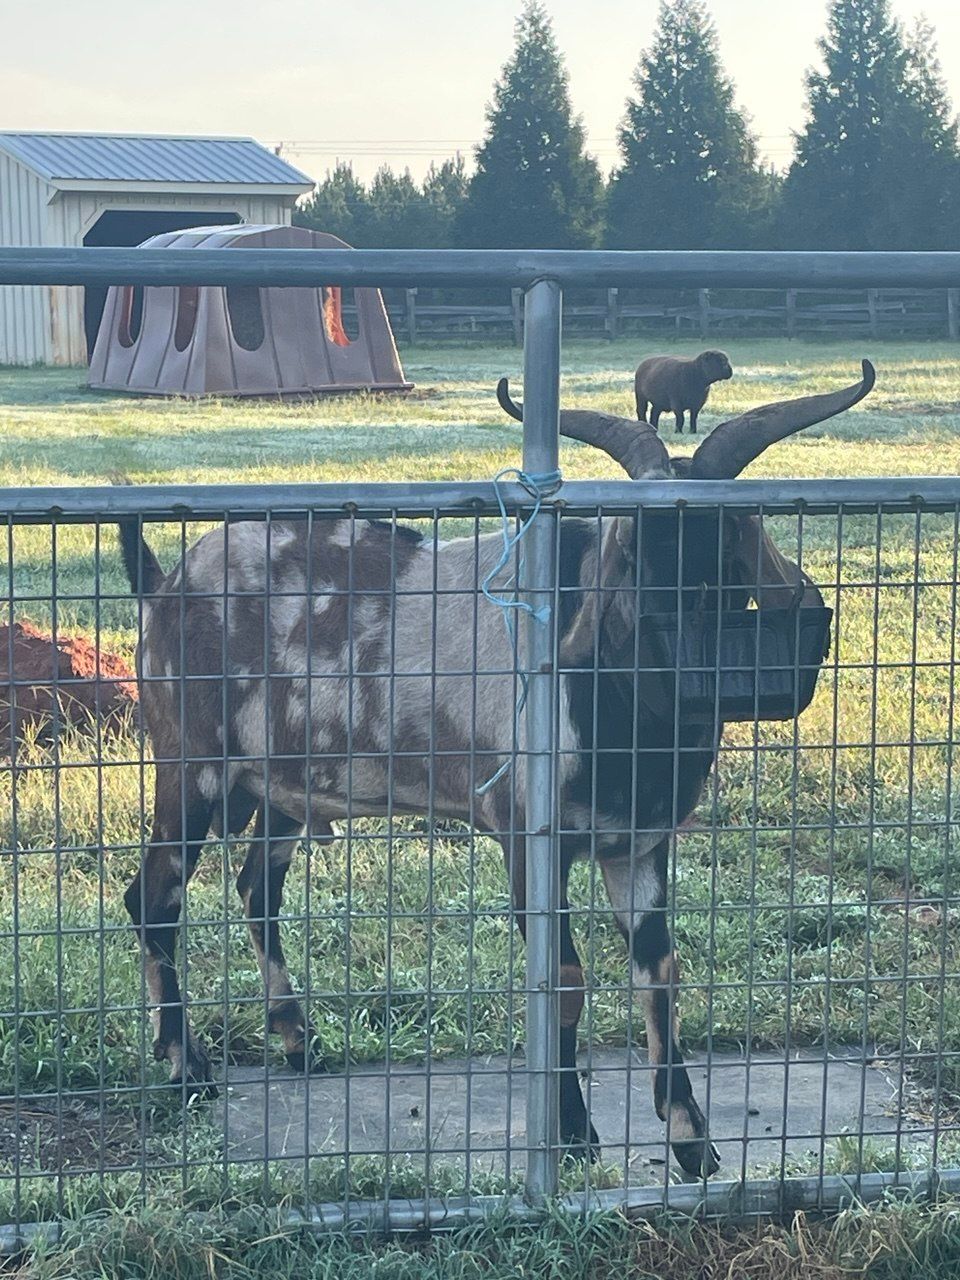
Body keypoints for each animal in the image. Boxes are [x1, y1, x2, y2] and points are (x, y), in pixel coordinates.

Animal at [117, 360, 875, 1179]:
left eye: (725, 563)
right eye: (632, 558)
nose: (681, 660)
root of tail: (163, 584)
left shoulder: (638, 844)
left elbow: (661, 976)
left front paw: (692, 1143)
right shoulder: (528, 836)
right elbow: (565, 982)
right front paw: (573, 1137)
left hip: (283, 785)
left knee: (256, 889)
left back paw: (297, 1040)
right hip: (191, 763)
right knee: (153, 897)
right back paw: (185, 1066)